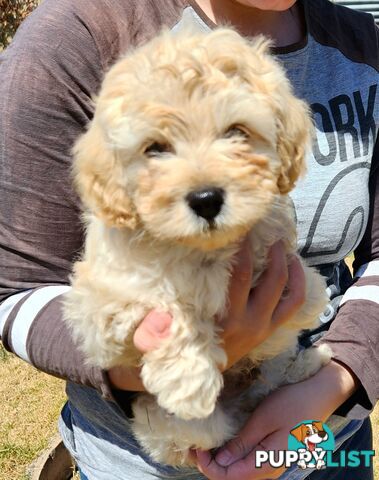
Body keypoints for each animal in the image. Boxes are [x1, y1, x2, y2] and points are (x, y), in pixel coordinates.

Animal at [63, 25, 332, 464]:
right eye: (155, 148)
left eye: (237, 131)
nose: (206, 199)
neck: (203, 249)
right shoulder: (101, 310)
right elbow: (169, 306)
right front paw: (189, 382)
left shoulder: (268, 237)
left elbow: (290, 271)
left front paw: (309, 296)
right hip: (185, 428)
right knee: (221, 423)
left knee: (269, 381)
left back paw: (309, 361)